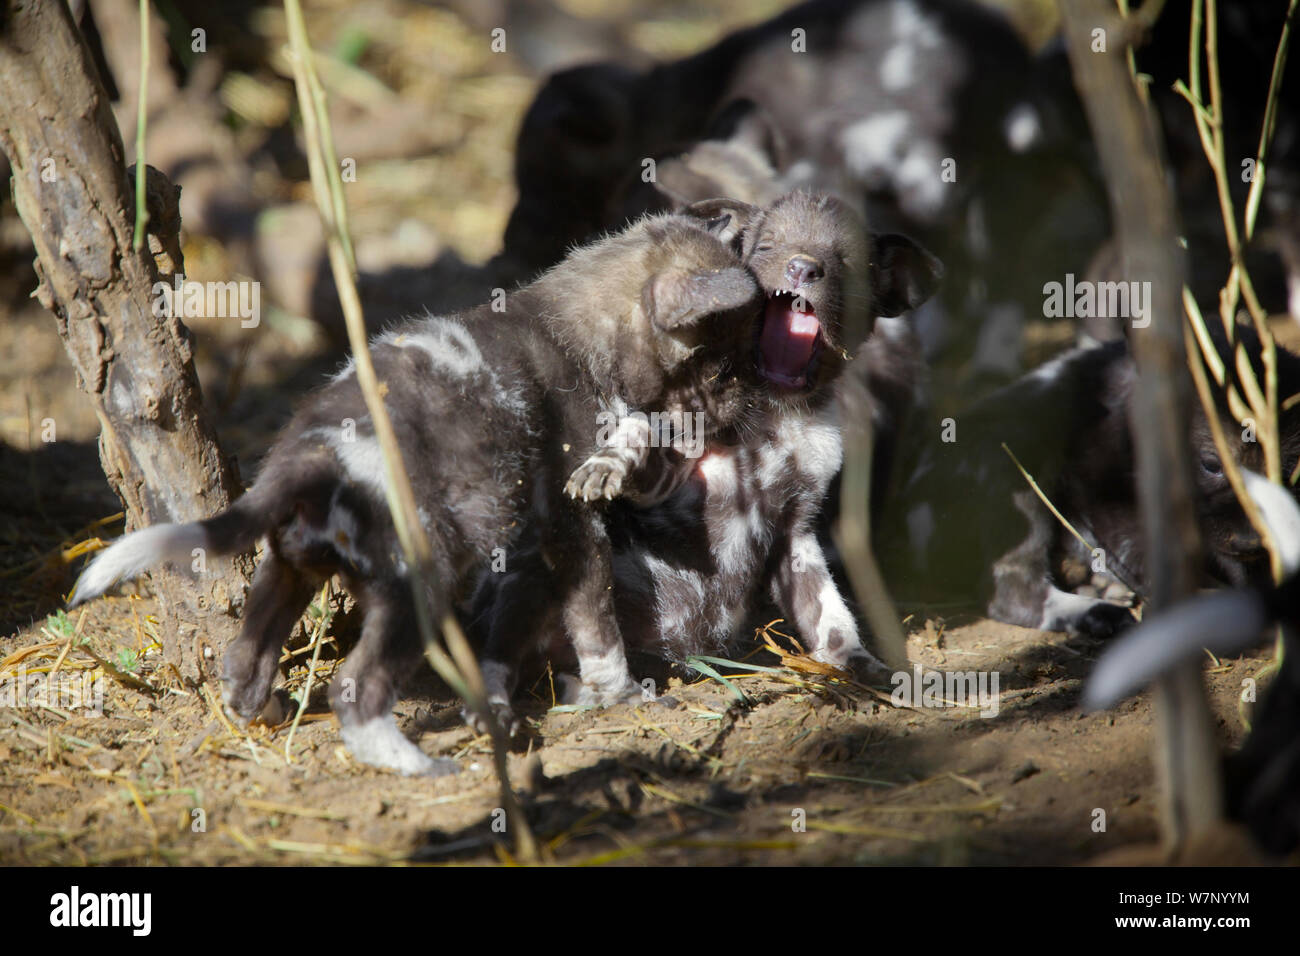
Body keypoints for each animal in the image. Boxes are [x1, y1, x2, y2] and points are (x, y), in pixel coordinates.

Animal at [65, 205, 764, 775]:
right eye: (723, 368)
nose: (744, 409)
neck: (575, 328)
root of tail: (308, 454)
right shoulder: (577, 534)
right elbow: (600, 628)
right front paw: (616, 696)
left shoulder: (533, 551)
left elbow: (510, 639)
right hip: (417, 587)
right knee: (354, 690)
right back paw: (415, 764)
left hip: (290, 570)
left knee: (244, 661)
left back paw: (261, 713)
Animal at [878, 327, 1300, 634]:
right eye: (1211, 463)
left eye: (1289, 467)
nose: (1251, 540)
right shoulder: (1104, 494)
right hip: (1014, 474)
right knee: (1012, 589)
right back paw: (1095, 611)